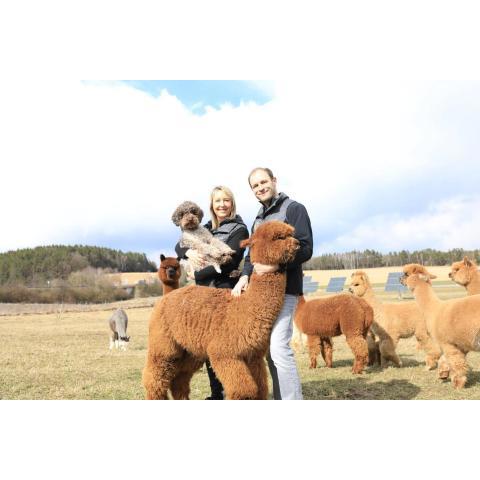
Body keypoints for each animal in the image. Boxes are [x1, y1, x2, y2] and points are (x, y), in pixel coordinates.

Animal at [142, 219, 298, 400]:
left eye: (291, 234)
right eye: (279, 237)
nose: (297, 243)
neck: (246, 306)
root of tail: (167, 296)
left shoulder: (253, 356)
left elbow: (260, 388)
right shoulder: (223, 352)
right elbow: (244, 390)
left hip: (190, 350)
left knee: (179, 378)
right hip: (163, 343)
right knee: (154, 377)